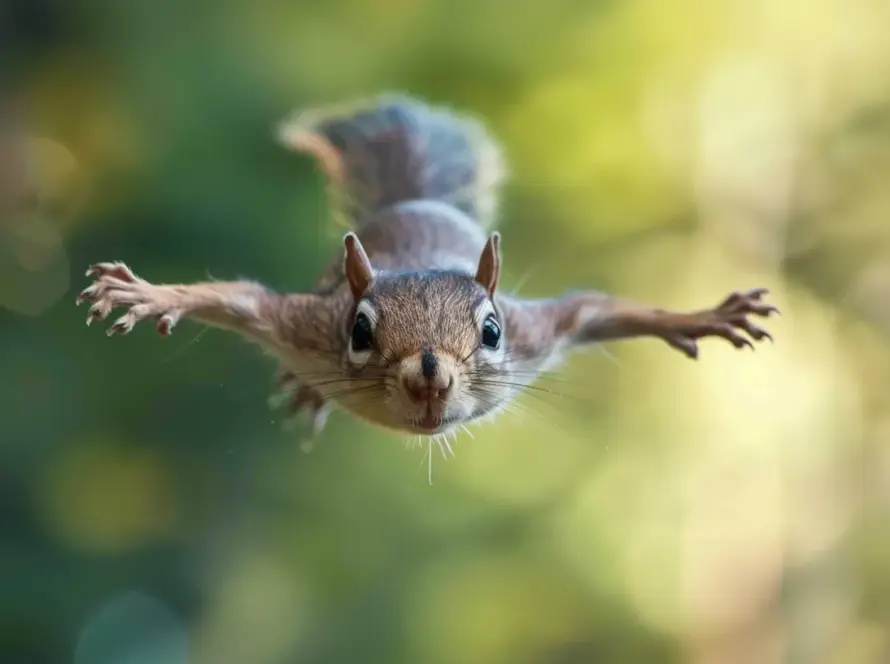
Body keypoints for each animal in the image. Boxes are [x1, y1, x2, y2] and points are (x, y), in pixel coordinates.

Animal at [76, 89, 776, 440]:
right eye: (358, 331)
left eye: (491, 331)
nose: (430, 377)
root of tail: (415, 199)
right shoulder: (302, 321)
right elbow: (235, 295)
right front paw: (152, 294)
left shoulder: (539, 331)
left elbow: (597, 306)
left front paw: (701, 315)